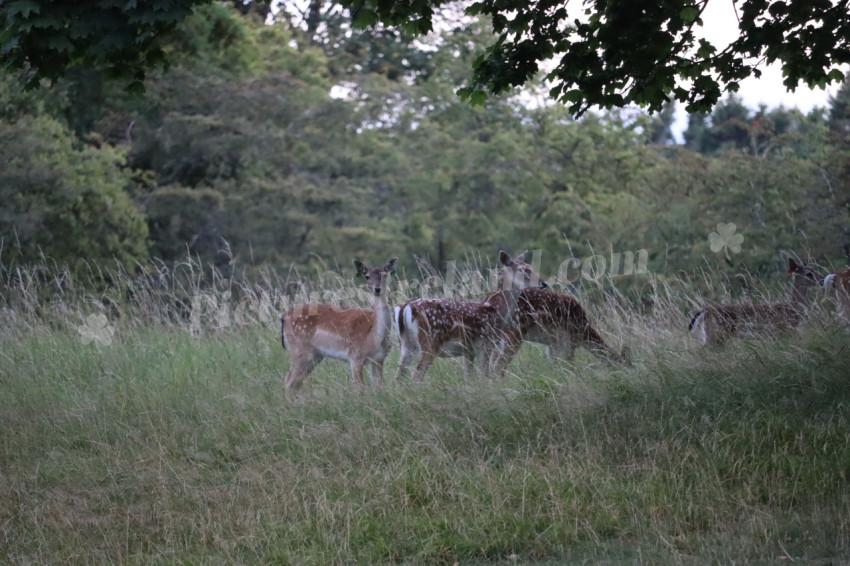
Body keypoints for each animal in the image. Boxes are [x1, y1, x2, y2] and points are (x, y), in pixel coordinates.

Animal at [281, 257, 398, 393]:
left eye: (385, 274)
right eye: (367, 276)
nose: (377, 289)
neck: (374, 337)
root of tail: (283, 317)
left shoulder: (379, 359)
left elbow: (378, 387)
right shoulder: (355, 356)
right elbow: (359, 389)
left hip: (315, 356)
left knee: (296, 383)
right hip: (300, 349)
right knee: (288, 381)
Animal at [394, 250, 547, 382]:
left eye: (530, 267)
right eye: (522, 269)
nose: (543, 283)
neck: (497, 310)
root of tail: (405, 308)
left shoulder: (468, 351)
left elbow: (469, 380)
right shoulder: (486, 345)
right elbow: (484, 377)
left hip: (406, 345)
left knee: (399, 376)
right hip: (429, 342)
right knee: (416, 375)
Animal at [688, 258, 822, 345]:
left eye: (815, 270)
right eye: (809, 273)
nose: (822, 280)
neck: (791, 308)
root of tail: (705, 310)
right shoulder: (783, 330)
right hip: (716, 334)